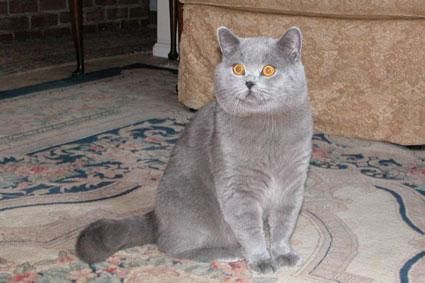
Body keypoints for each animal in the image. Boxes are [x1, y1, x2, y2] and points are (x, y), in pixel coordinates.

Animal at [75, 26, 312, 276]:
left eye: (268, 70)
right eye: (238, 68)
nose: (249, 82)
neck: (268, 128)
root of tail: (156, 219)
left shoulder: (292, 183)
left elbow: (284, 224)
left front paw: (283, 253)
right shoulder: (238, 188)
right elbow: (250, 229)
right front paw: (262, 260)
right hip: (194, 211)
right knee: (171, 246)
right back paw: (229, 252)